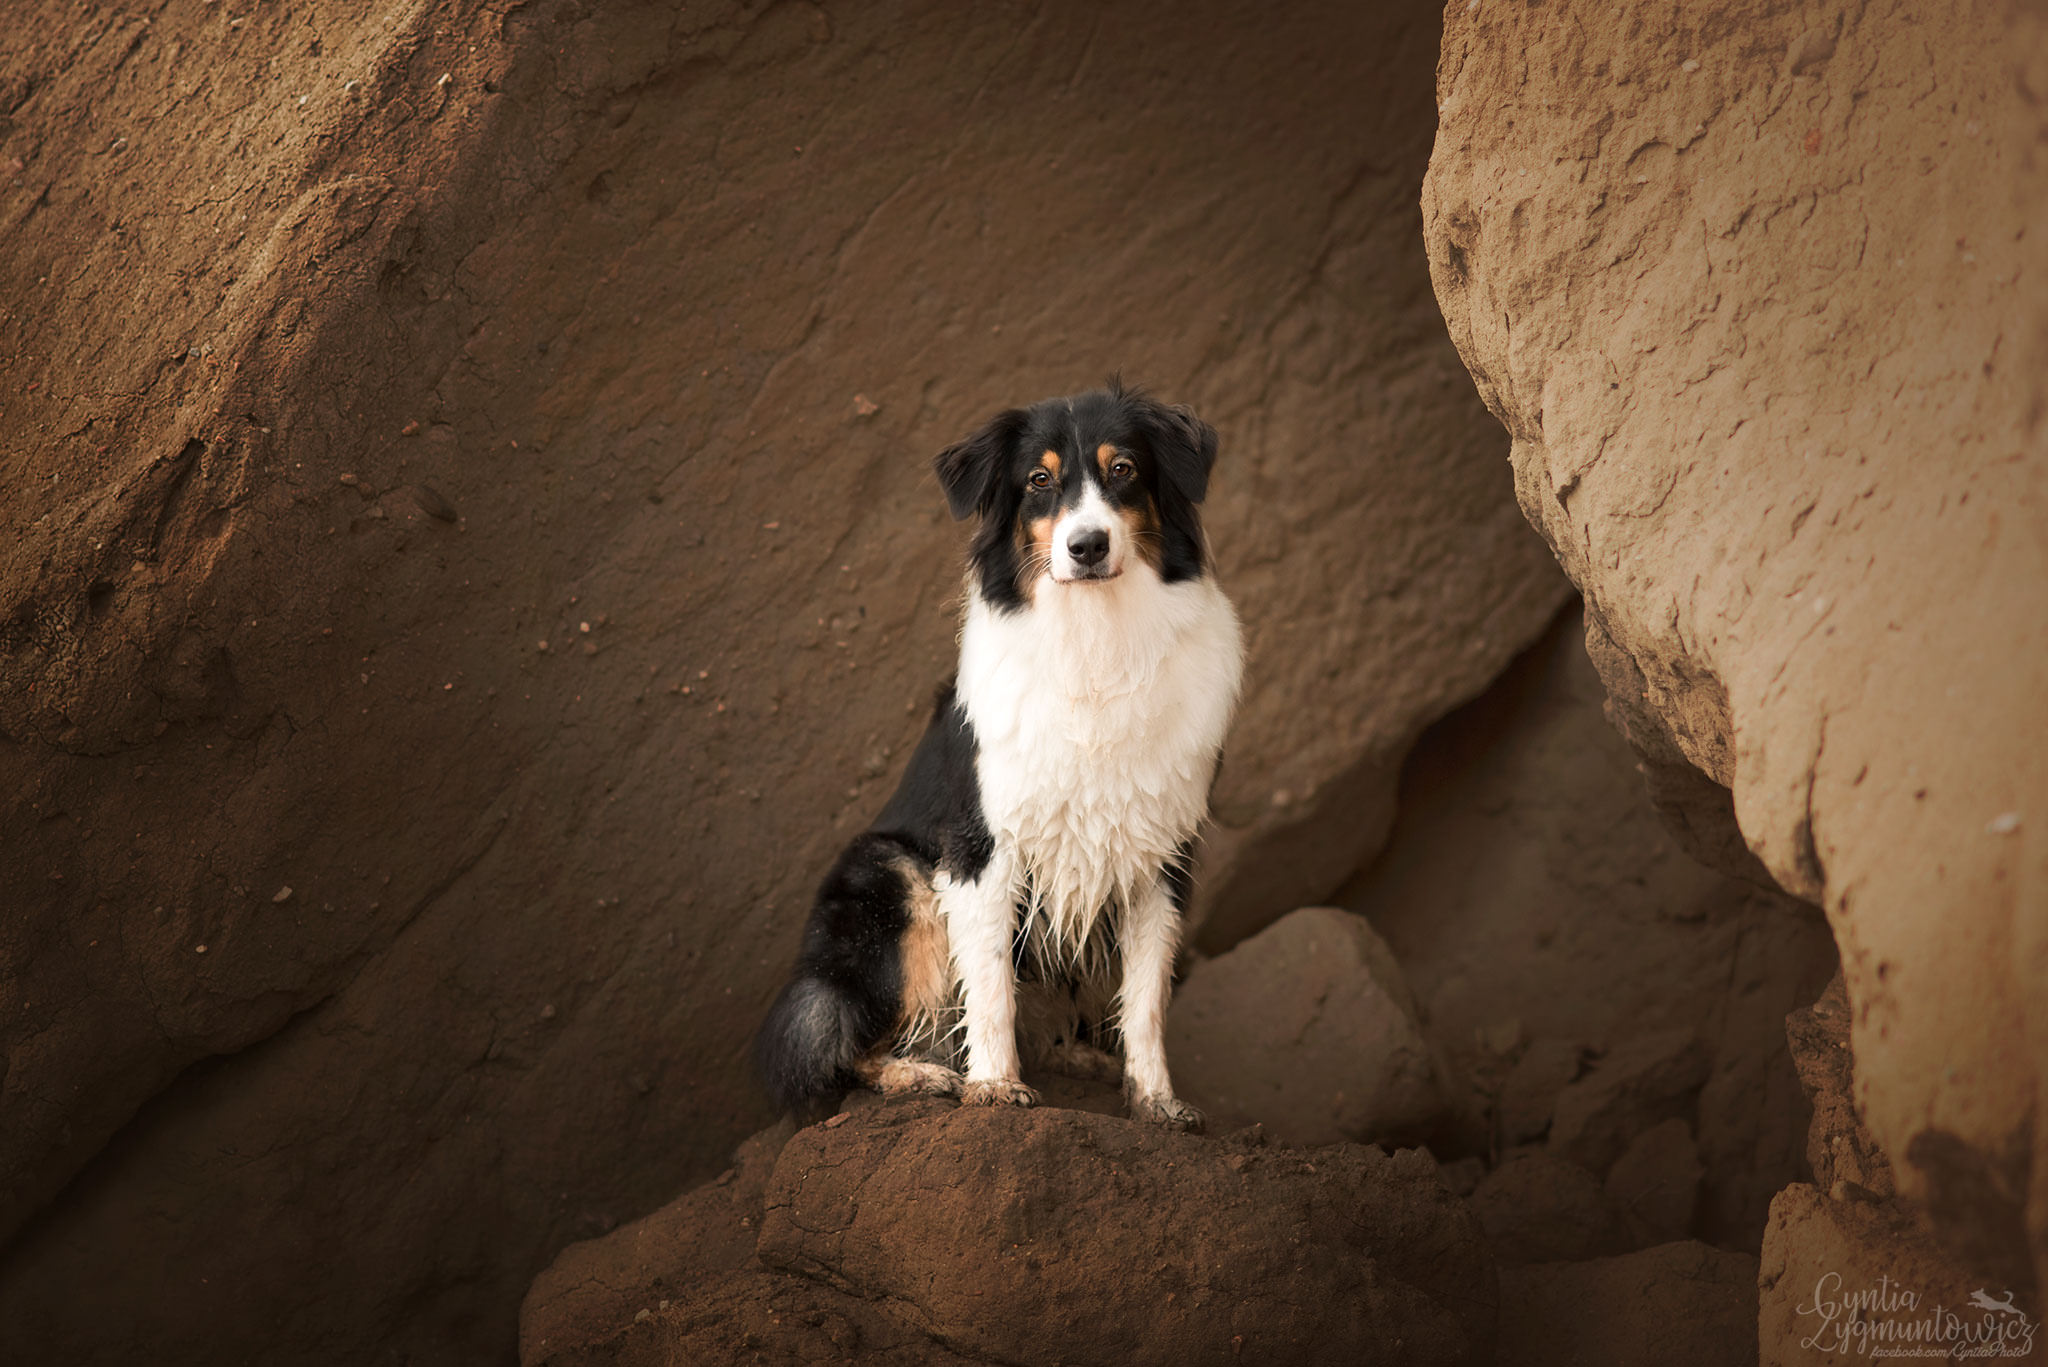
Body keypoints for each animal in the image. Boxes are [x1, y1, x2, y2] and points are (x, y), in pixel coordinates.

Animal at [749, 379, 1228, 1131]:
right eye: (1039, 481)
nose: (1087, 546)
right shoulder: (981, 847)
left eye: (1123, 470)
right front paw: (996, 1086)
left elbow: (1148, 996)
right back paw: (921, 1073)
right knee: (836, 1042)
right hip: (895, 879)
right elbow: (991, 984)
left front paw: (1156, 1100)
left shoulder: (1161, 854)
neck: (1096, 637)